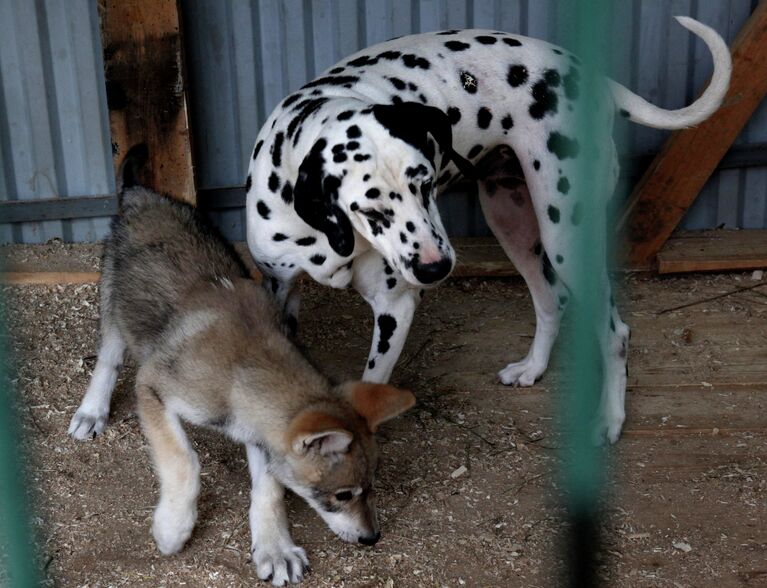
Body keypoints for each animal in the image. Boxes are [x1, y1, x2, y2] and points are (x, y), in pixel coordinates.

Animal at [246, 16, 732, 444]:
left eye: (426, 182)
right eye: (368, 207)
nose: (435, 269)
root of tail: (593, 77)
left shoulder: (394, 307)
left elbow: (370, 391)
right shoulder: (280, 292)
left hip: (565, 237)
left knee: (615, 333)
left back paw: (609, 419)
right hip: (511, 222)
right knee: (550, 299)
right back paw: (533, 368)